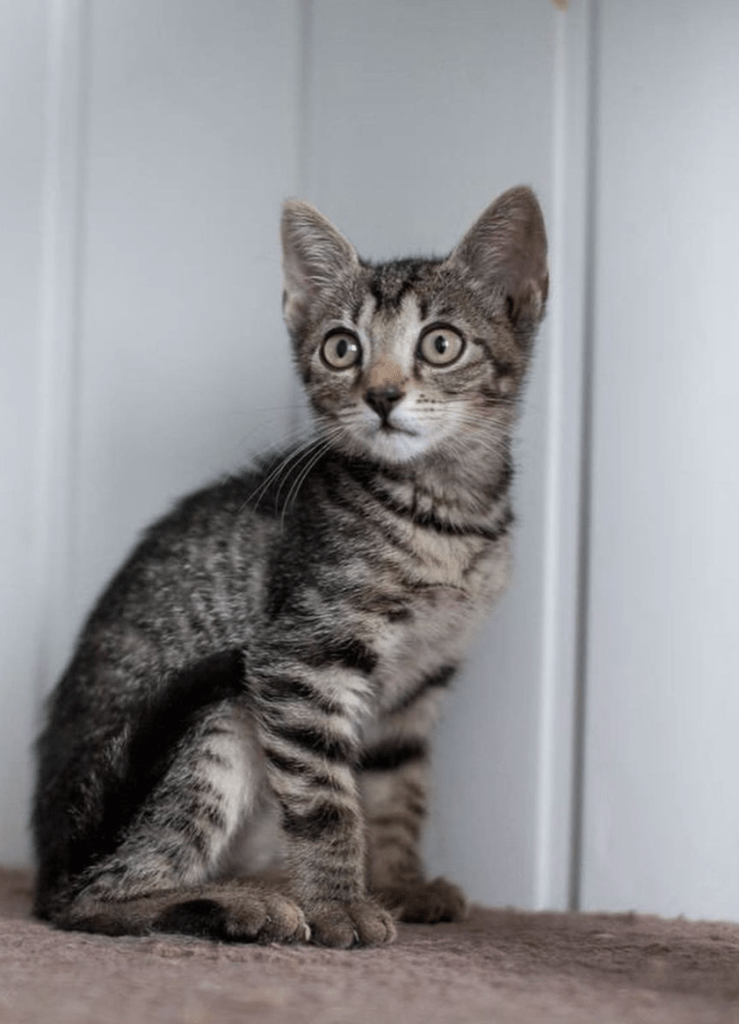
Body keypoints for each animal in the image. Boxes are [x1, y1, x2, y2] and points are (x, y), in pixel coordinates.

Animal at [31, 184, 544, 942]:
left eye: (440, 342)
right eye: (341, 348)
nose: (381, 395)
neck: (447, 517)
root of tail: (49, 861)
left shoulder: (417, 687)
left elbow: (396, 793)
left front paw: (399, 883)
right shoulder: (299, 660)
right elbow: (326, 800)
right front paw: (340, 905)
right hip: (211, 719)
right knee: (89, 900)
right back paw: (242, 903)